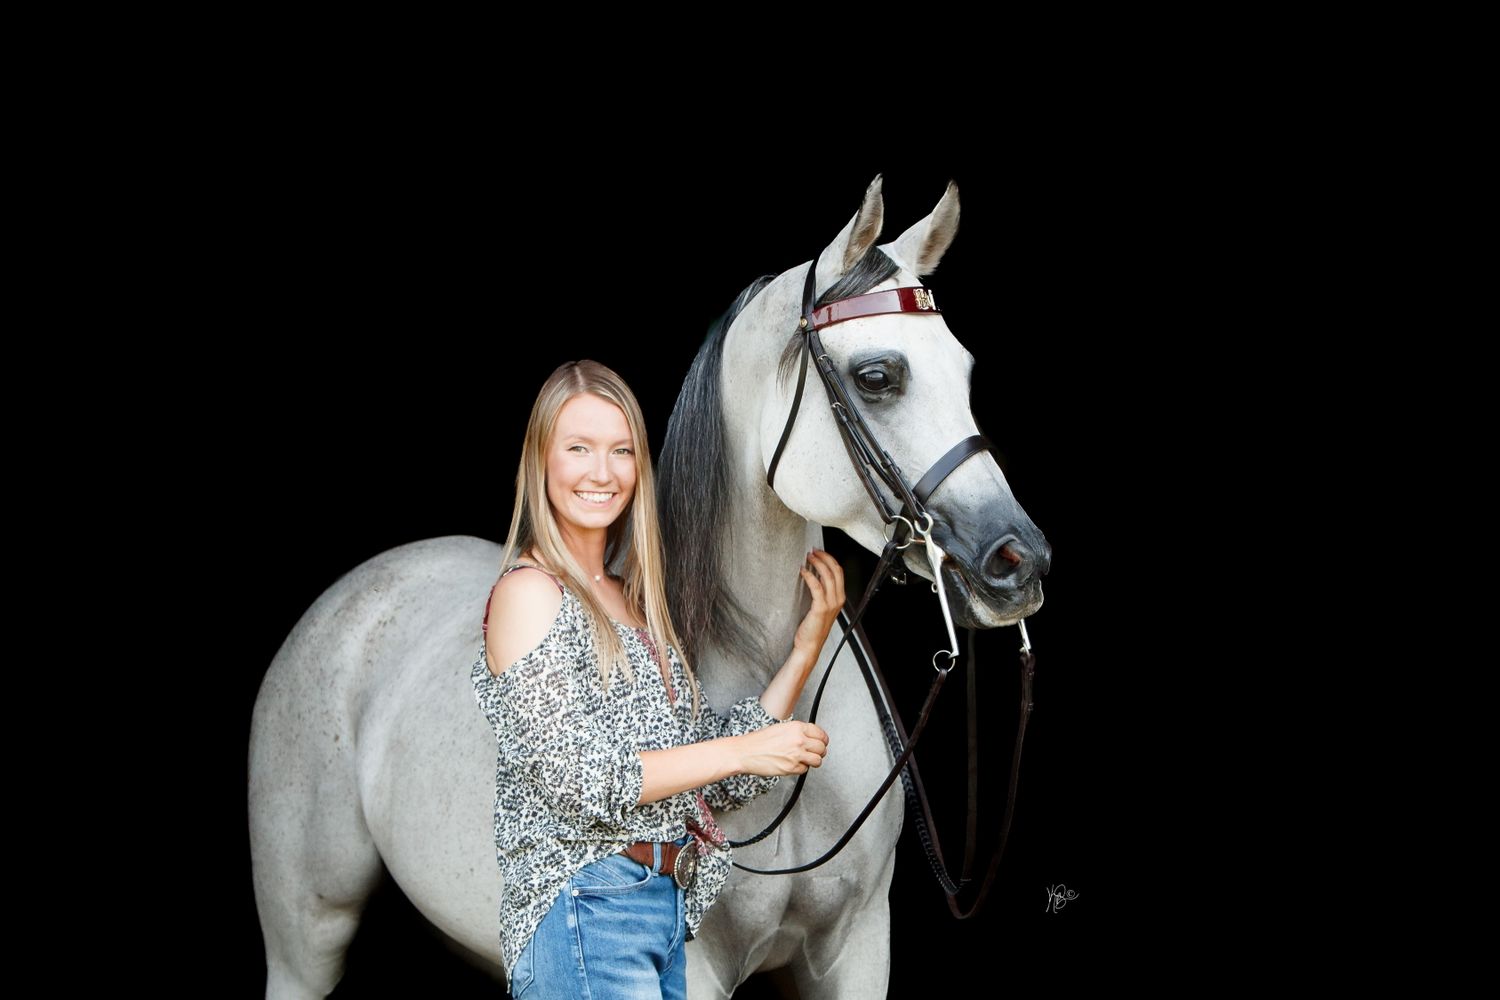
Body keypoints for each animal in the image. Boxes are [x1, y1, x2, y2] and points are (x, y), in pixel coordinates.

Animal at [248, 174, 1050, 998]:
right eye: (878, 377)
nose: (1017, 560)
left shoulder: (856, 946)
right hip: (305, 941)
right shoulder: (695, 968)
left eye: (964, 370)